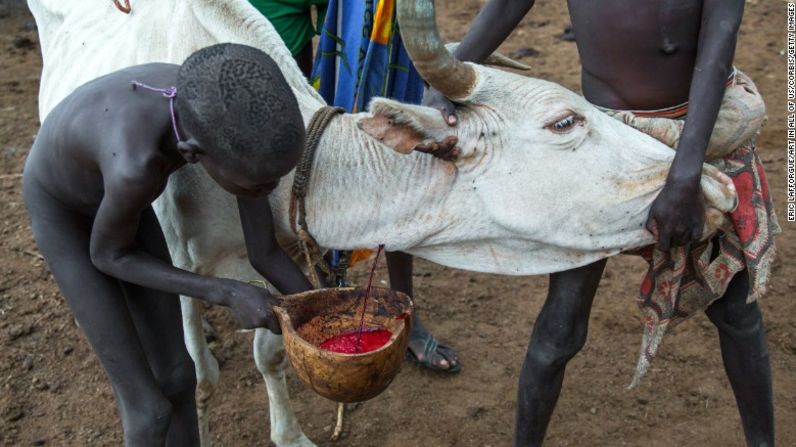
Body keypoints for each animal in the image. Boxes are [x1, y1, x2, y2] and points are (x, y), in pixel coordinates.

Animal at [29, 0, 740, 446]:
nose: (717, 187)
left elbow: (273, 344)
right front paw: (264, 418)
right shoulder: (173, 230)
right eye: (564, 122)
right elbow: (204, 320)